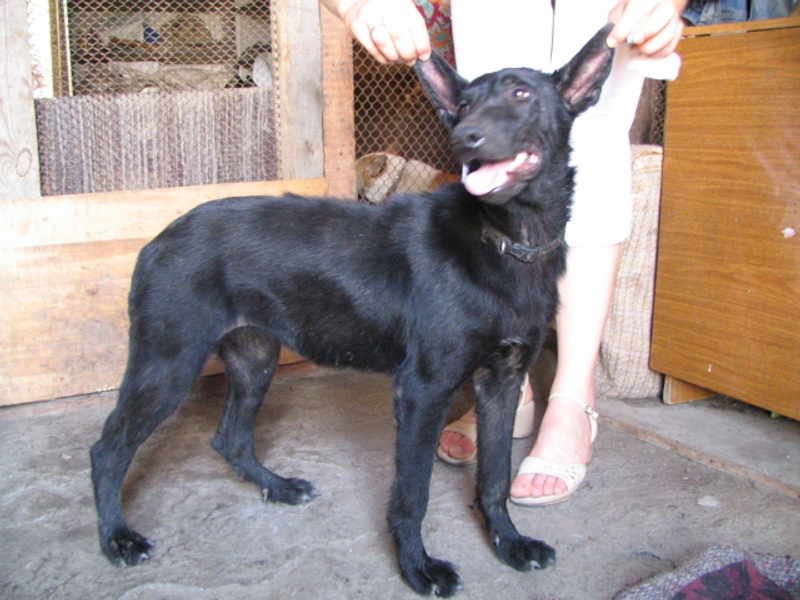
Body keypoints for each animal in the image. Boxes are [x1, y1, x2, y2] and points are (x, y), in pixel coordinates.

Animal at [90, 25, 615, 597]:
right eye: (464, 104)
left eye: (521, 94)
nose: (465, 137)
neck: (506, 238)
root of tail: (158, 239)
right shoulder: (422, 390)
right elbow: (412, 493)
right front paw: (417, 567)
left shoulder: (501, 381)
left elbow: (494, 477)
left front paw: (509, 544)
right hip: (167, 364)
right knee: (108, 451)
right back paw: (117, 539)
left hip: (253, 358)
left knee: (229, 438)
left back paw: (276, 487)